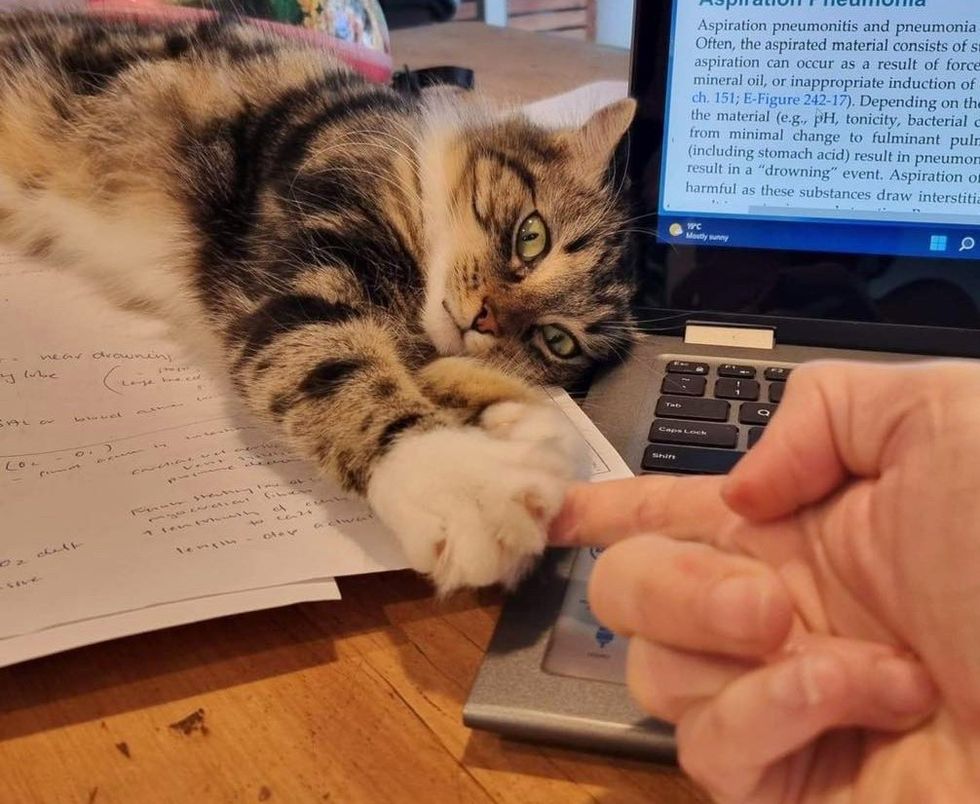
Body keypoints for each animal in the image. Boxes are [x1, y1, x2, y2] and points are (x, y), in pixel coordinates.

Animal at [0, 11, 640, 592]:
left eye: (556, 339)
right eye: (532, 237)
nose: (484, 319)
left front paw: (531, 430)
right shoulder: (292, 281)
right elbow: (343, 372)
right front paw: (465, 482)